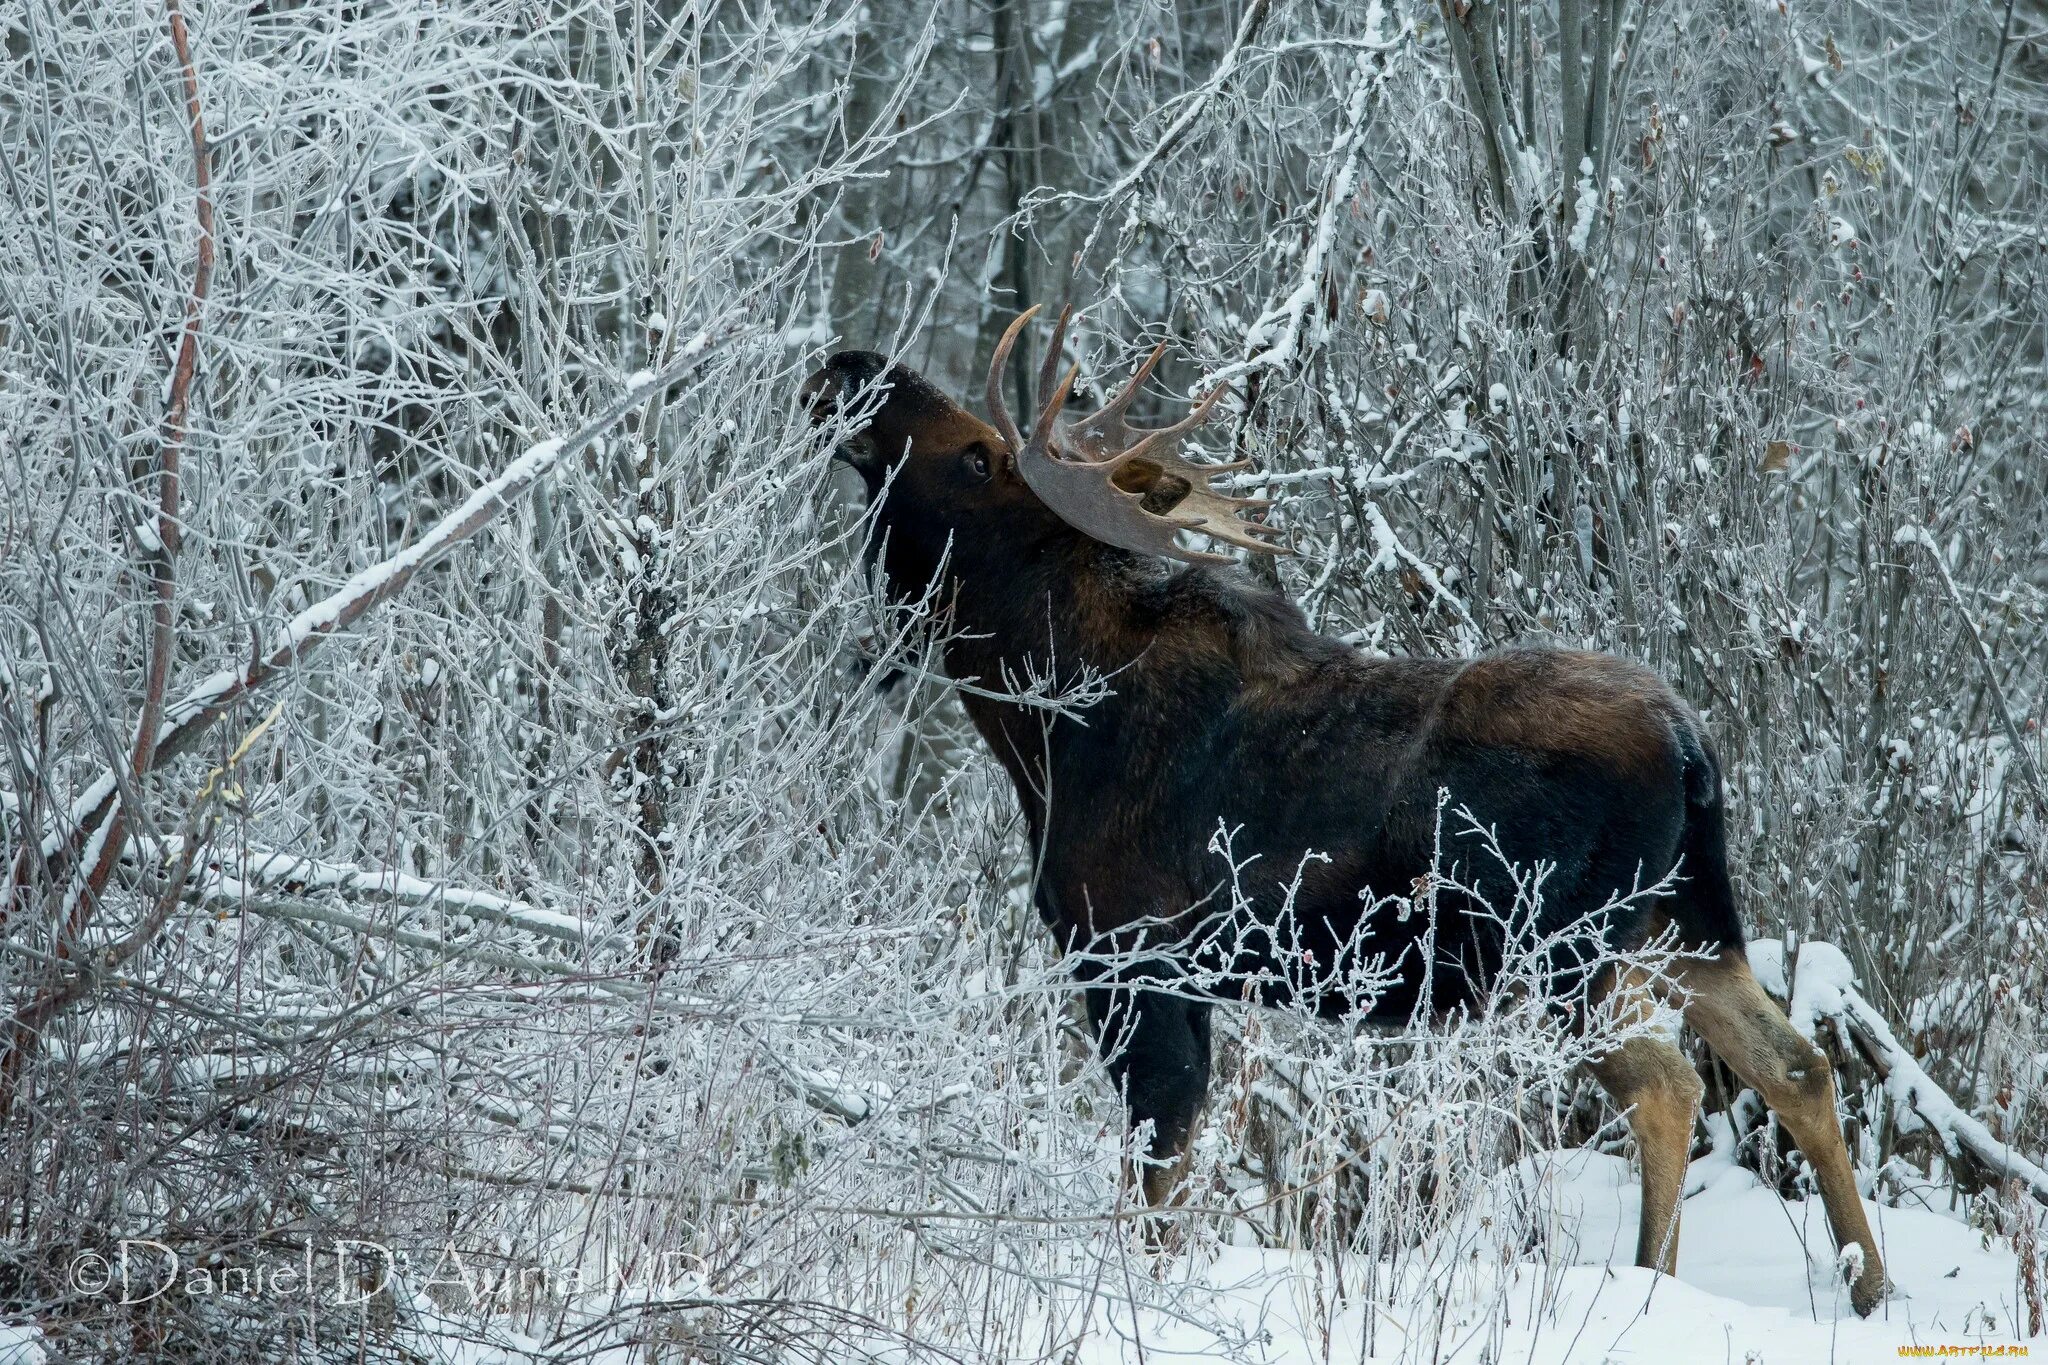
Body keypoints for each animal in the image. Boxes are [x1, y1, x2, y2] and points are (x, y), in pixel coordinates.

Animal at [798, 309, 1884, 1309]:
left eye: (977, 454)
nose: (848, 362)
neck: (1042, 725)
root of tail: (1690, 745)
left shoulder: (1131, 957)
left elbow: (1156, 1177)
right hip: (1689, 922)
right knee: (1795, 1063)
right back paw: (1867, 1285)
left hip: (1563, 946)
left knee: (1669, 1084)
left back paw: (1650, 1282)